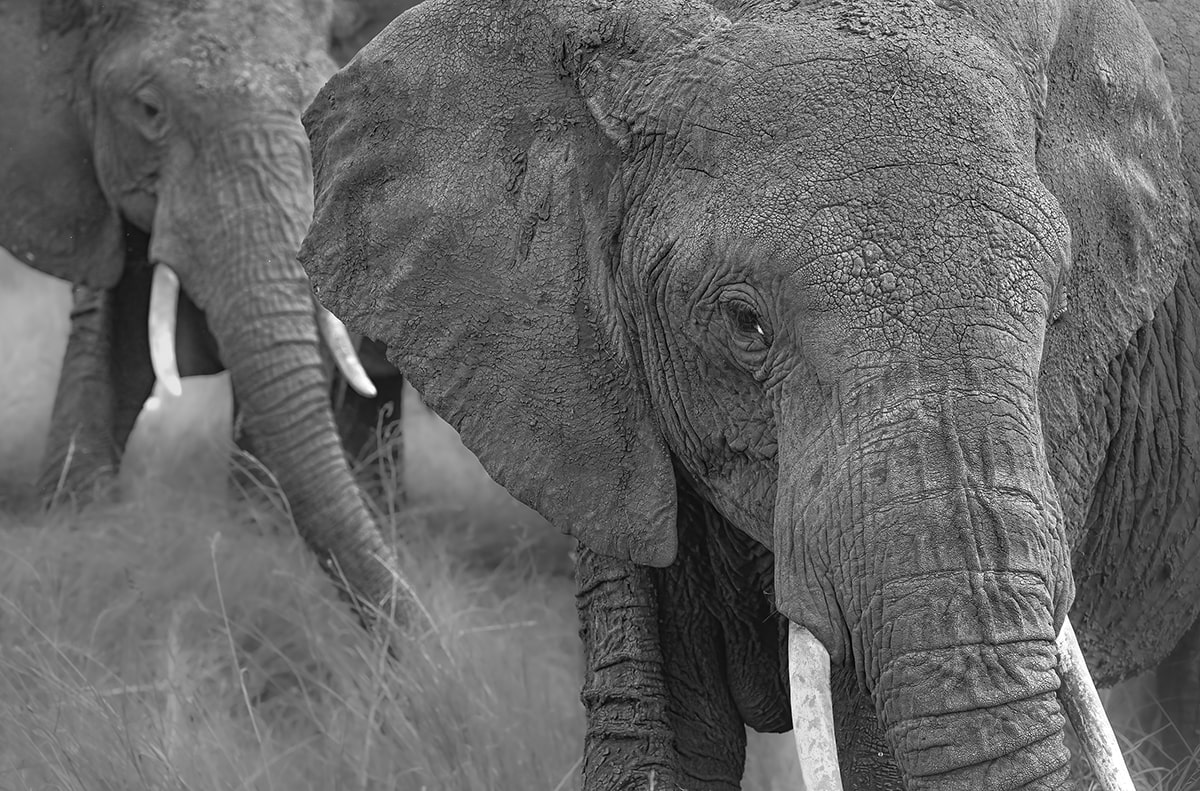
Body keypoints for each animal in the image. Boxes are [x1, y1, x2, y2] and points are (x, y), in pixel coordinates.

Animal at [0, 0, 422, 619]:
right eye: (149, 111)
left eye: (319, 116)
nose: (430, 641)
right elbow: (113, 345)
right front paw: (74, 533)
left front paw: (252, 539)